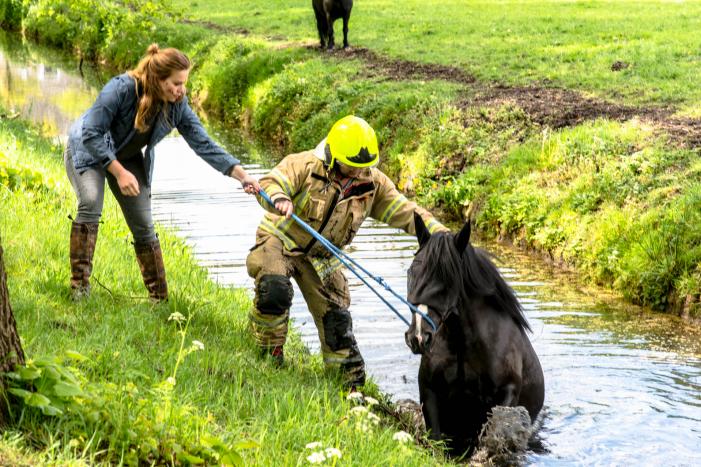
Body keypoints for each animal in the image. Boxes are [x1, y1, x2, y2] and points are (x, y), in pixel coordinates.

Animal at [405, 214, 544, 455]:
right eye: (411, 272)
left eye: (448, 279)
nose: (418, 337)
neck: (463, 346)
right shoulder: (430, 390)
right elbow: (436, 439)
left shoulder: (507, 393)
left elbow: (490, 434)